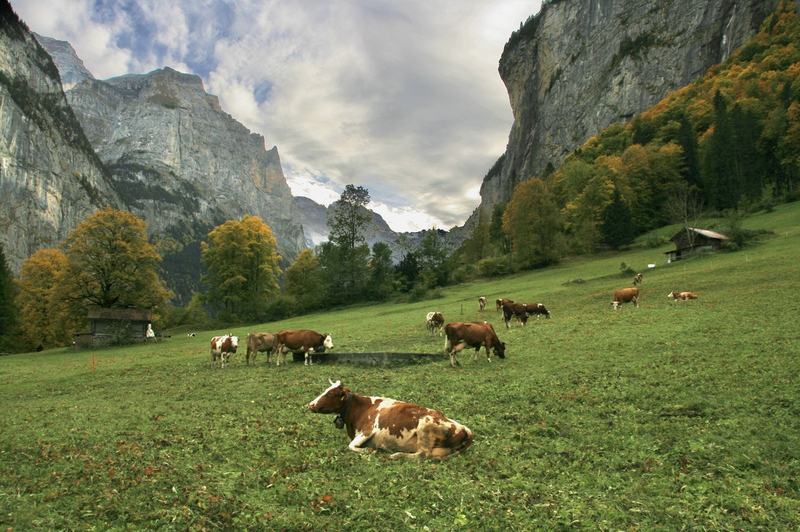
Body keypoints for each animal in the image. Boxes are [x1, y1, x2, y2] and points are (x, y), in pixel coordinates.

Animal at [304, 378, 468, 462]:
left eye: (330, 394)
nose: (311, 404)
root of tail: (465, 429)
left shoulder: (369, 430)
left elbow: (351, 446)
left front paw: (369, 450)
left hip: (425, 428)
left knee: (423, 454)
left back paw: (396, 454)